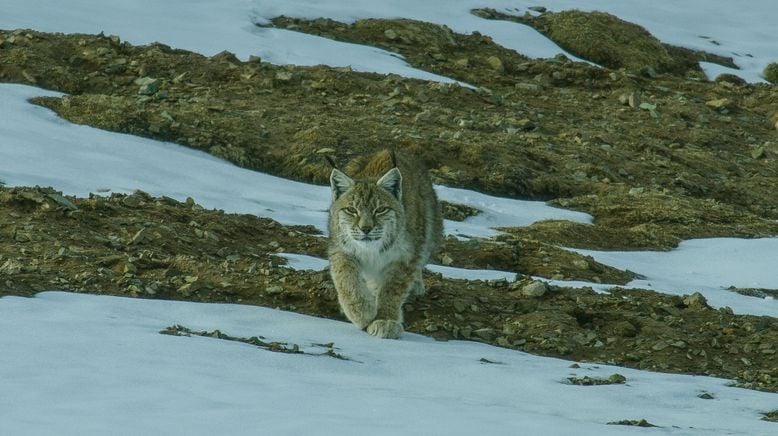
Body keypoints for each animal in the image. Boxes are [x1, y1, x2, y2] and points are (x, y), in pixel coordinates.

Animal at [324, 152, 440, 338]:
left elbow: (392, 290)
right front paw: (362, 312)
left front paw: (386, 320)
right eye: (351, 210)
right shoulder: (340, 248)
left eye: (380, 210)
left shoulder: (407, 256)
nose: (365, 229)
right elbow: (347, 279)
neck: (372, 250)